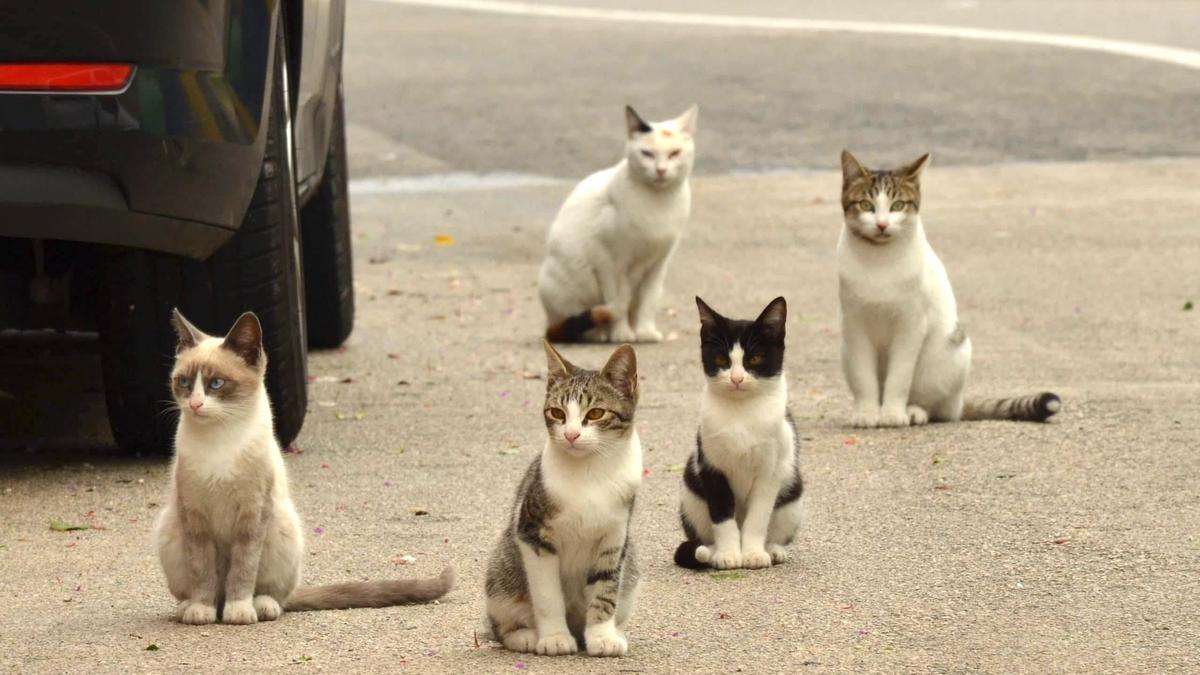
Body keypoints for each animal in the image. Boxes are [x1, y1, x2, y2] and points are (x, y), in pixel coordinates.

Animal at [151, 307, 451, 624]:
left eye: (216, 383)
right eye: (184, 382)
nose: (195, 404)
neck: (219, 440)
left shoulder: (253, 515)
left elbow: (243, 570)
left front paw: (239, 611)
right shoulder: (195, 517)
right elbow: (202, 571)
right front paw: (201, 609)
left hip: (282, 527)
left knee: (275, 596)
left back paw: (259, 607)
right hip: (170, 530)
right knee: (202, 588)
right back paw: (192, 607)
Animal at [482, 341, 643, 653]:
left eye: (596, 413)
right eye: (557, 413)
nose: (570, 434)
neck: (591, 472)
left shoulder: (615, 538)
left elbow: (606, 589)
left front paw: (602, 636)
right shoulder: (533, 534)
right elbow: (548, 595)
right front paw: (554, 637)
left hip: (631, 571)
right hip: (501, 575)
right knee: (501, 625)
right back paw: (525, 636)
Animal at [540, 103, 700, 341]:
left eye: (674, 153)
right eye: (647, 154)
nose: (661, 170)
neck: (658, 202)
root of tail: (548, 322)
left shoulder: (659, 262)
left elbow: (649, 300)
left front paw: (645, 331)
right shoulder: (610, 262)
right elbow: (618, 301)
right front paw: (622, 333)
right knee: (576, 322)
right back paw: (598, 333)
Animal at [676, 297, 806, 566]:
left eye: (754, 359)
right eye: (721, 361)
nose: (737, 379)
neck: (742, 413)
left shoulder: (770, 470)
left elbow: (758, 517)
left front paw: (753, 553)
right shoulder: (711, 465)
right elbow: (722, 515)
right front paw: (728, 554)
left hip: (793, 493)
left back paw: (772, 549)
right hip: (690, 491)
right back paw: (711, 551)